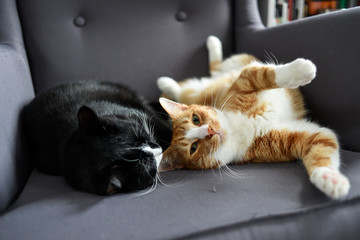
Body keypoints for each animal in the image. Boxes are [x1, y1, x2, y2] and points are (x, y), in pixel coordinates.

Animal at [156, 35, 350, 199]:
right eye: (193, 148)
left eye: (196, 119)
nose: (210, 131)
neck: (238, 129)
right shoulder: (302, 137)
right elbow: (322, 143)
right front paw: (330, 180)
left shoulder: (243, 83)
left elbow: (263, 75)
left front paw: (300, 69)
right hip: (198, 91)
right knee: (186, 89)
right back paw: (166, 82)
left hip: (227, 70)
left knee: (213, 70)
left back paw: (209, 45)